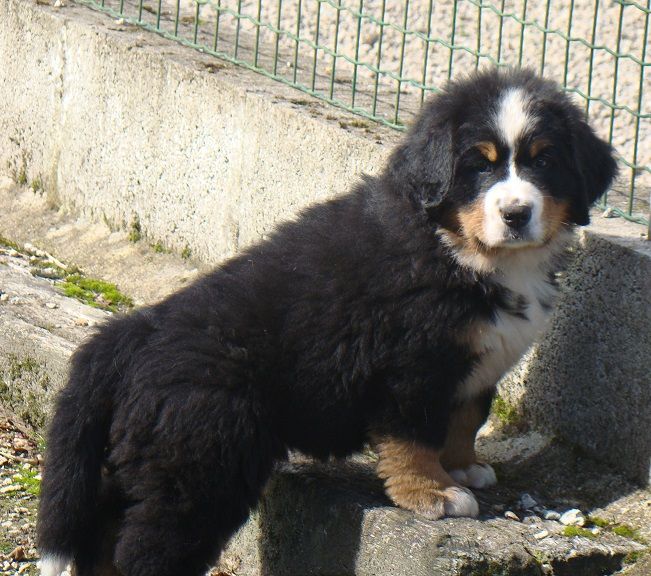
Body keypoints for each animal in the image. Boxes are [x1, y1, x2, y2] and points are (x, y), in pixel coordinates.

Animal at [38, 68, 616, 576]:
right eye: (479, 166)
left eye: (545, 162)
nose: (517, 213)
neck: (457, 249)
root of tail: (129, 334)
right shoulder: (411, 367)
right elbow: (416, 436)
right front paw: (431, 492)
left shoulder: (471, 367)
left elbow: (466, 417)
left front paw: (462, 467)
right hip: (201, 461)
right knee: (148, 548)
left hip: (138, 461)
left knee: (103, 539)